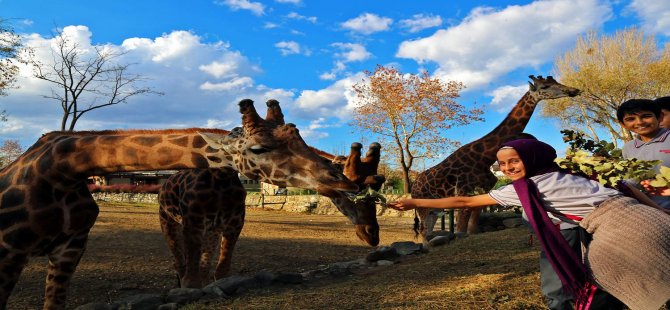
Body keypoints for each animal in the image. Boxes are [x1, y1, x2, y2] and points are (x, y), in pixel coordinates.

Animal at [0, 98, 360, 308]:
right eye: (258, 148)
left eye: (298, 135)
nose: (341, 179)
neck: (62, 168)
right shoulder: (10, 250)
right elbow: (189, 275)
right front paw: (187, 292)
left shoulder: (70, 247)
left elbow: (218, 270)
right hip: (169, 223)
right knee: (179, 262)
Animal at [412, 75, 580, 242]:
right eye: (544, 87)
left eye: (555, 81)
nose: (574, 90)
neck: (483, 158)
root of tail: (414, 186)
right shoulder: (462, 191)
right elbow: (460, 228)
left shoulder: (483, 190)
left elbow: (473, 226)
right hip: (421, 205)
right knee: (422, 229)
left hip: (434, 208)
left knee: (427, 229)